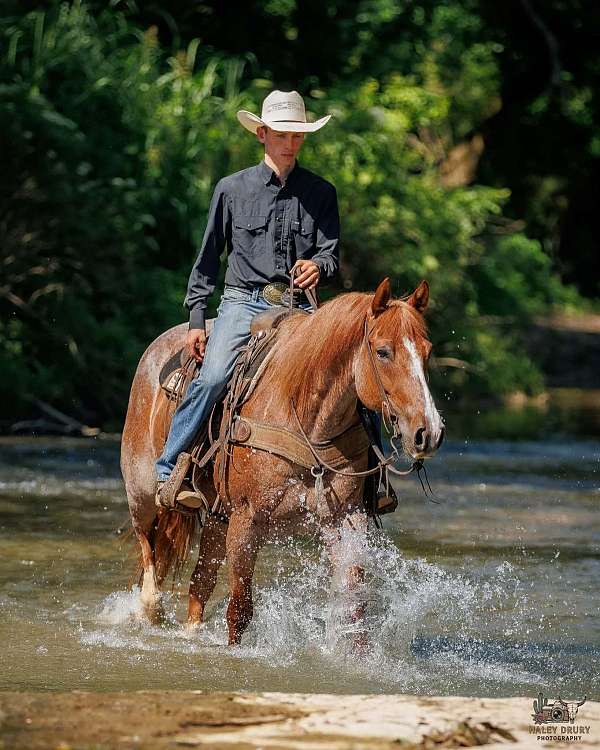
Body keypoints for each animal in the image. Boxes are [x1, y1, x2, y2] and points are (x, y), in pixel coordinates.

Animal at [120, 278, 445, 645]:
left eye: (427, 351)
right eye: (383, 352)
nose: (429, 431)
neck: (304, 415)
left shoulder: (346, 518)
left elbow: (353, 605)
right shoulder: (247, 519)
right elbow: (240, 609)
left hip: (218, 514)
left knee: (200, 583)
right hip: (142, 492)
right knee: (147, 544)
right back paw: (150, 607)